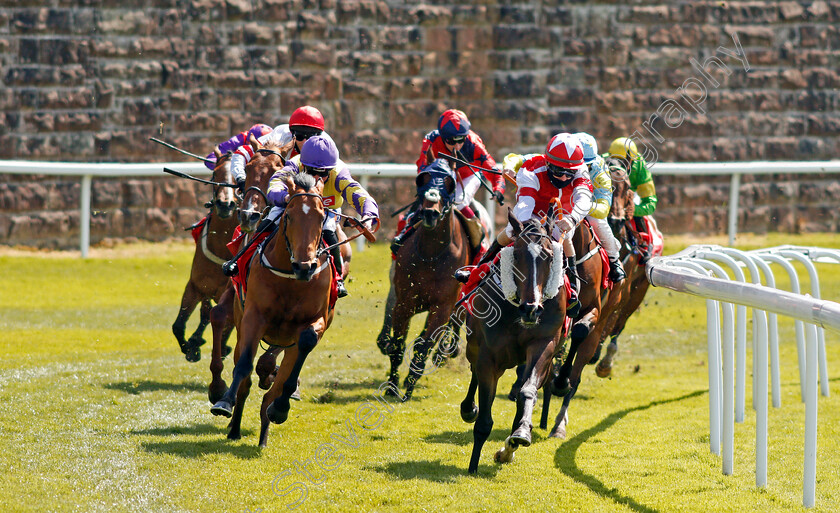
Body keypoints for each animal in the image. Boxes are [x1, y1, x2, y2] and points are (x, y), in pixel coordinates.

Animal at [171, 146, 236, 362]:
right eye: (215, 174)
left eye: (240, 178)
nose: (225, 204)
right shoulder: (197, 286)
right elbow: (179, 324)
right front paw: (192, 346)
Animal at [208, 171, 336, 444]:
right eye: (288, 215)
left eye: (322, 217)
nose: (305, 266)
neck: (291, 278)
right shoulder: (254, 317)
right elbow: (244, 363)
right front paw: (224, 402)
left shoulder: (316, 320)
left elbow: (304, 345)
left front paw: (280, 408)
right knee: (244, 379)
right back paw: (234, 427)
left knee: (273, 387)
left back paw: (266, 427)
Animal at [376, 158, 472, 398]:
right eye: (423, 181)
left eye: (448, 185)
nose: (430, 212)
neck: (431, 255)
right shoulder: (405, 303)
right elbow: (399, 345)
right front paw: (392, 385)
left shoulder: (442, 306)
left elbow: (424, 345)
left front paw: (410, 385)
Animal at [460, 211, 572, 472]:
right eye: (518, 254)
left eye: (548, 256)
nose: (531, 309)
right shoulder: (489, 356)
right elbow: (484, 419)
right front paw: (473, 465)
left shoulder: (543, 344)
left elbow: (527, 390)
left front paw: (519, 435)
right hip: (475, 346)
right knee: (473, 372)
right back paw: (468, 408)